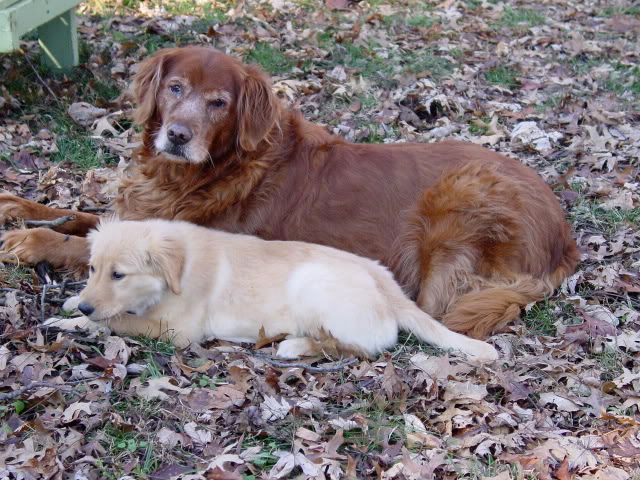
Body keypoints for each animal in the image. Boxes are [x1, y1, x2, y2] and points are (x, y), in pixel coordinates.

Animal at [0, 45, 579, 339]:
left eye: (219, 102)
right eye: (174, 88)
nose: (178, 136)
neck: (206, 171)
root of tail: (565, 235)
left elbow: (82, 241)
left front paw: (29, 242)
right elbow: (80, 216)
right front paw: (17, 207)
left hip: (458, 200)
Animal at [47, 219, 499, 361]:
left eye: (119, 275)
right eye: (93, 269)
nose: (86, 307)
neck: (178, 268)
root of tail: (389, 287)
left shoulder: (177, 332)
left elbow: (120, 320)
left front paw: (76, 323)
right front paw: (72, 304)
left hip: (312, 285)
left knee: (361, 346)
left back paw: (294, 346)